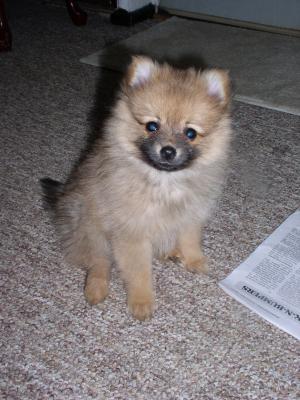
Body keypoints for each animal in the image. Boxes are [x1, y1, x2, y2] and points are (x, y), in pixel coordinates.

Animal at [43, 56, 232, 320]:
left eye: (190, 133)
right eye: (152, 126)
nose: (168, 150)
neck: (164, 182)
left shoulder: (190, 215)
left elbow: (190, 239)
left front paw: (194, 260)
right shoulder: (131, 232)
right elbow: (139, 271)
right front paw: (142, 301)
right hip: (91, 228)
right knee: (98, 261)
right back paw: (96, 288)